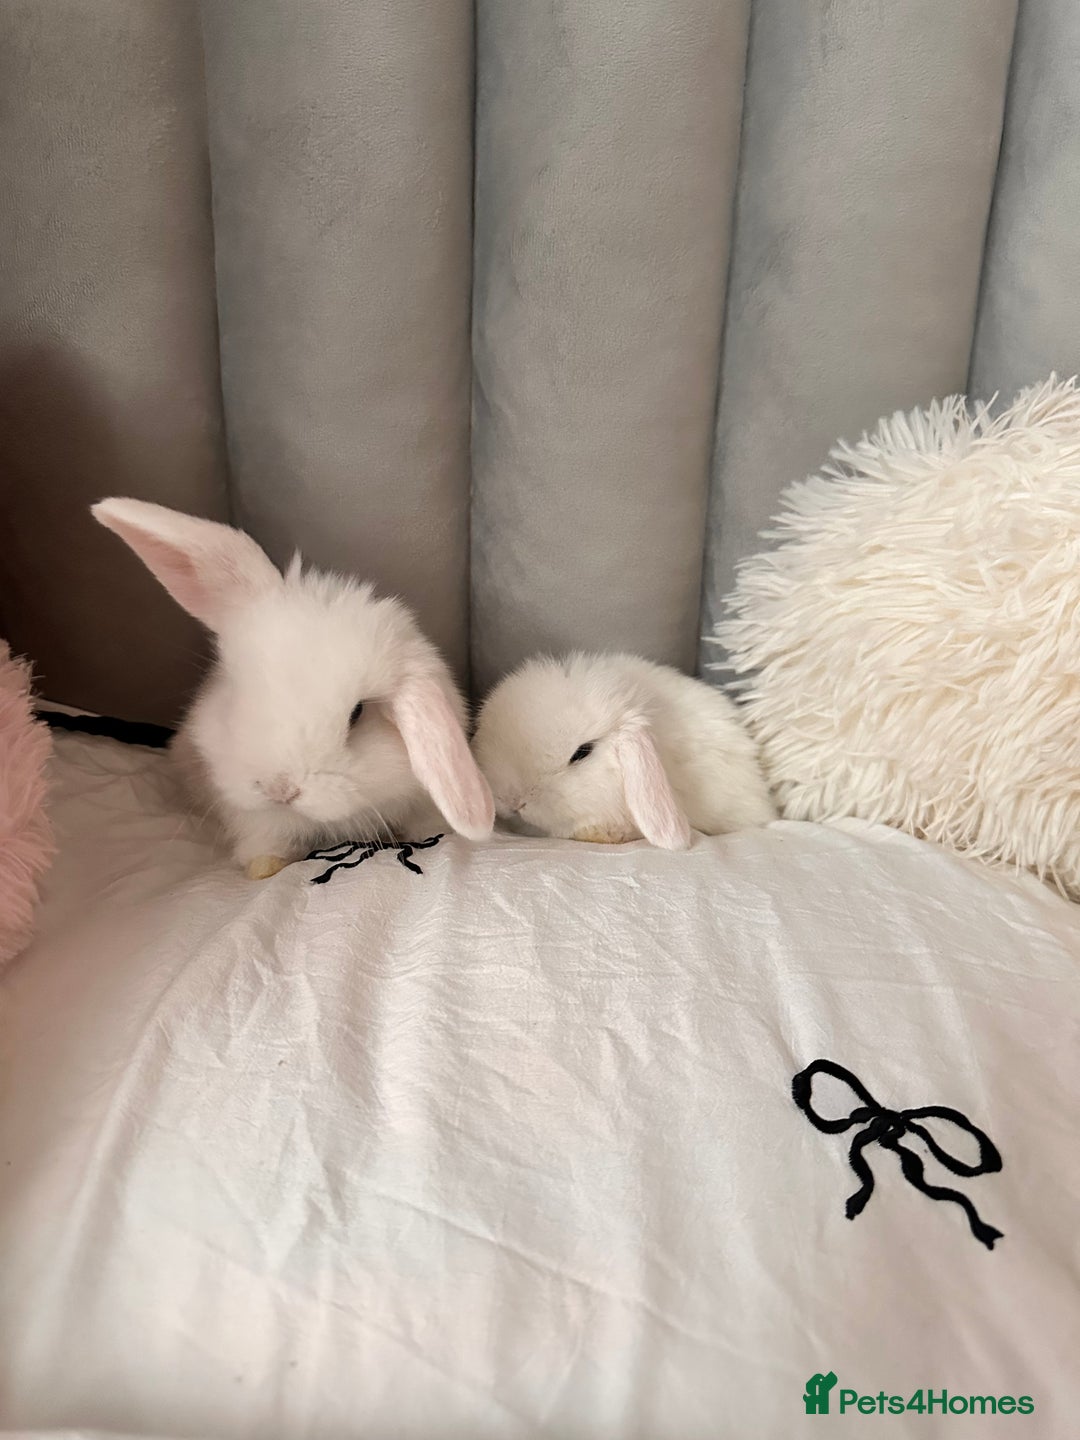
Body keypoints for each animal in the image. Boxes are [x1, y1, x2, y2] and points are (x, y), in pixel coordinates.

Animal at [92, 498, 494, 878]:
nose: (279, 790)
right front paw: (263, 867)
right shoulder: (254, 816)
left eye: (357, 714)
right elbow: (266, 838)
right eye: (237, 690)